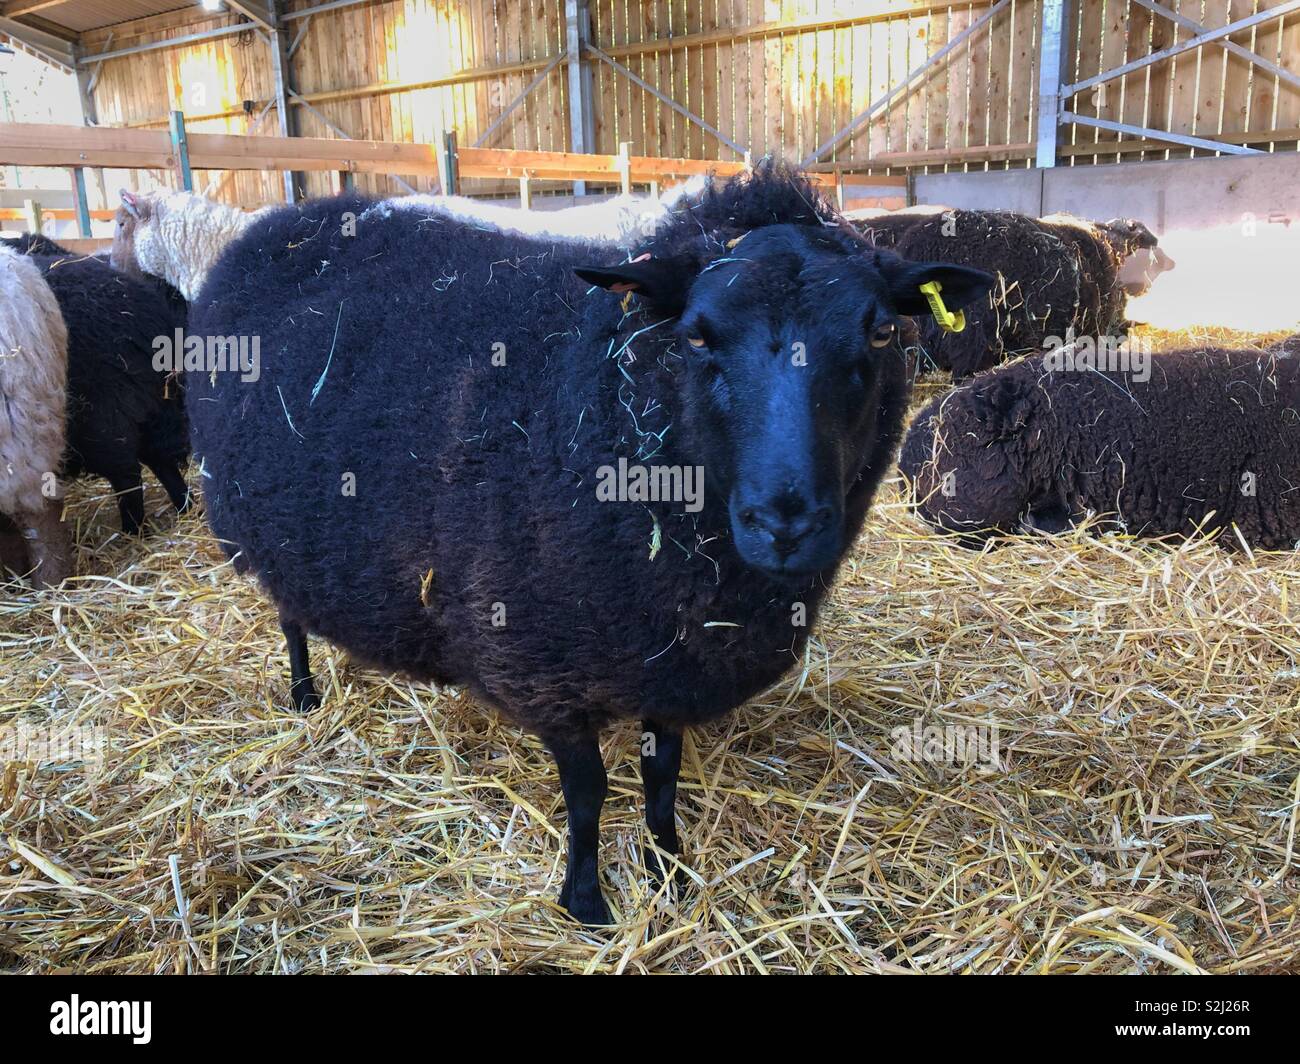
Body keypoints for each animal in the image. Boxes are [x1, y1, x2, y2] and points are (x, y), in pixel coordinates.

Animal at [185, 163, 993, 920]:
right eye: (696, 335)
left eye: (881, 332)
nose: (785, 524)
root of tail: (279, 221)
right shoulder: (543, 670)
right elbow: (589, 793)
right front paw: (586, 901)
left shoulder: (670, 666)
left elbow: (661, 778)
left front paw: (669, 867)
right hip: (259, 531)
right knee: (288, 617)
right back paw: (302, 695)